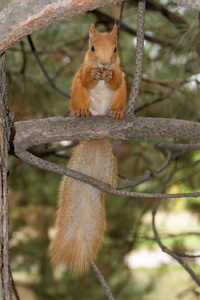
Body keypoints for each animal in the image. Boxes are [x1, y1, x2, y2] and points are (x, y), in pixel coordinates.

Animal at [48, 24, 126, 276]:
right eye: (92, 47)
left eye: (115, 48)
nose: (103, 64)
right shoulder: (82, 71)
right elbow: (86, 76)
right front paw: (94, 75)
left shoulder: (121, 74)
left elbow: (116, 79)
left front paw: (109, 76)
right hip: (77, 93)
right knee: (79, 98)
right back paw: (81, 112)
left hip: (123, 95)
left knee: (118, 98)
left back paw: (117, 113)